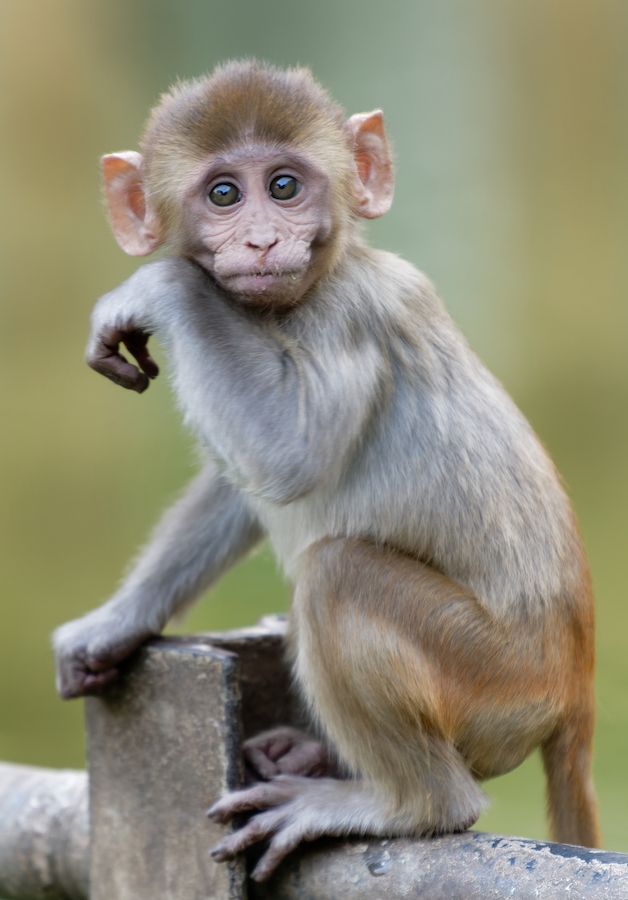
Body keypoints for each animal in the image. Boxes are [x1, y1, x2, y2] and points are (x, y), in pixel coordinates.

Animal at [52, 59, 600, 884]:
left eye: (284, 186)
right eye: (224, 194)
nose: (261, 238)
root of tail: (572, 686)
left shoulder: (348, 315)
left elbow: (291, 453)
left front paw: (164, 287)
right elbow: (242, 483)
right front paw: (114, 625)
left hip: (498, 682)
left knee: (341, 573)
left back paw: (405, 803)